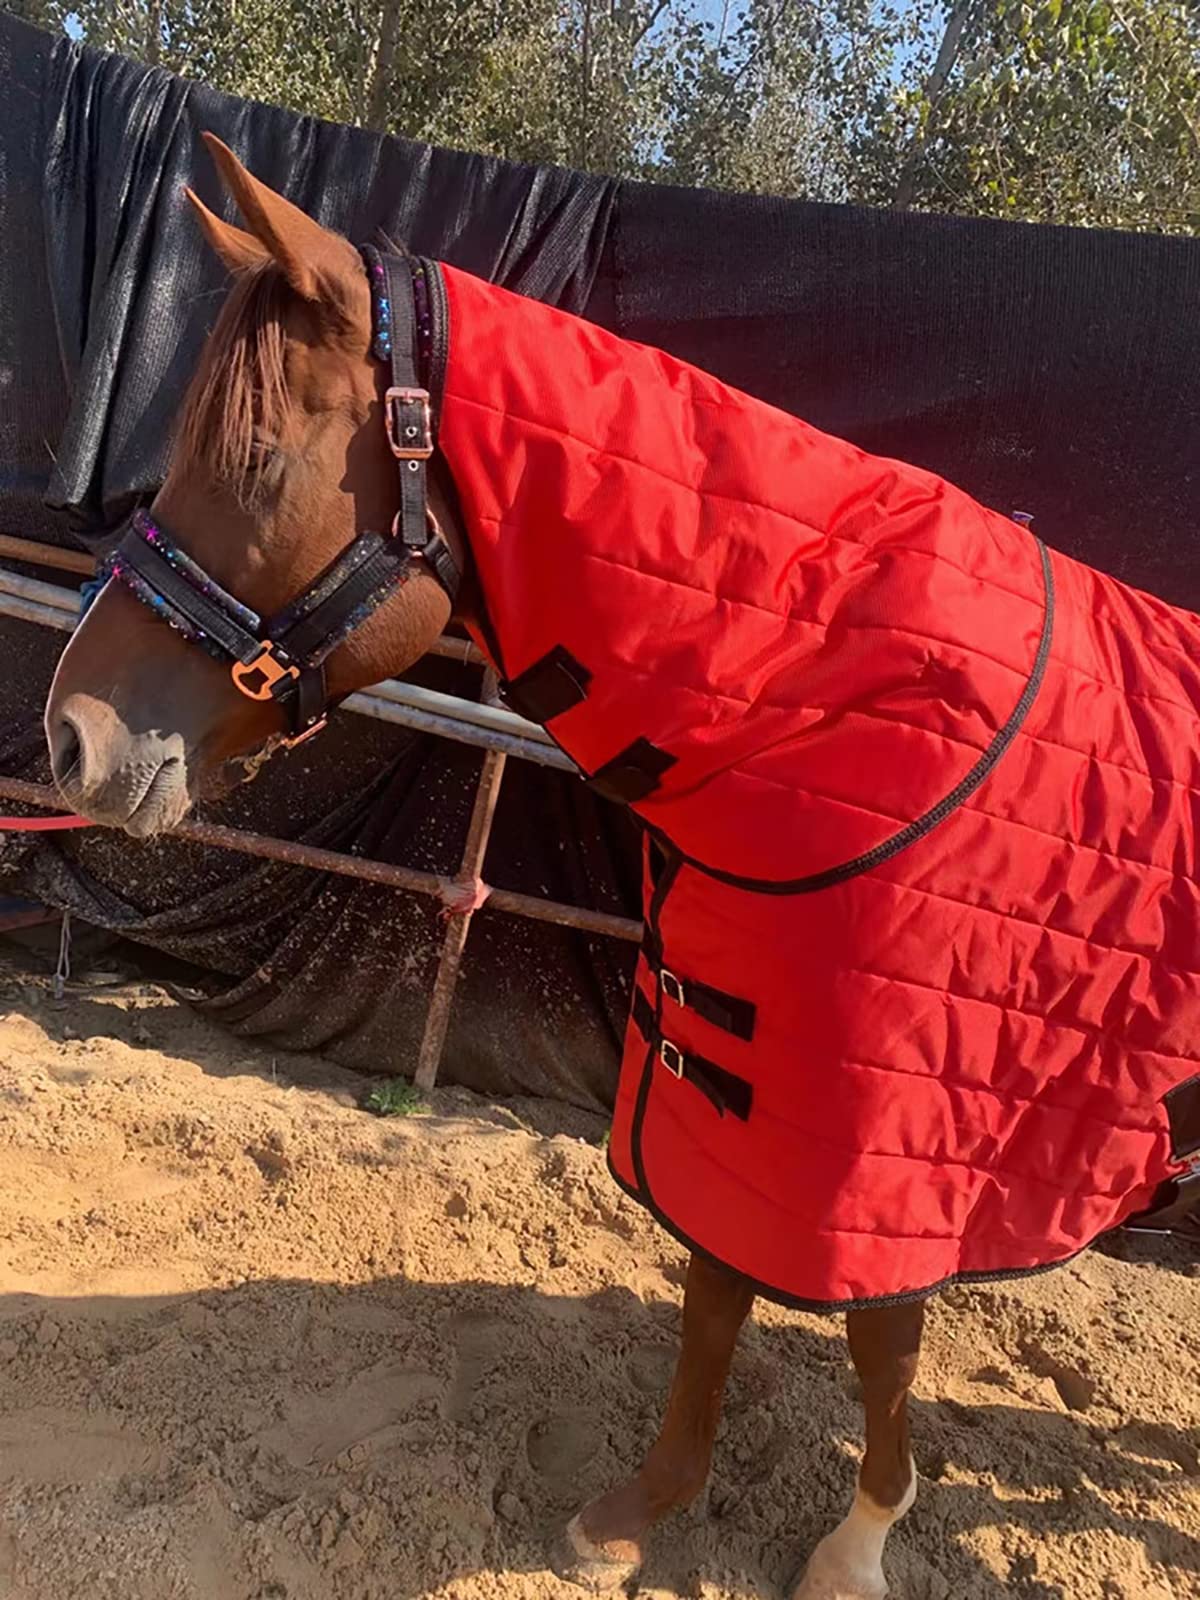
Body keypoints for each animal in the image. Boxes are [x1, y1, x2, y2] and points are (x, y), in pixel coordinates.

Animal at [44, 136, 1200, 1600]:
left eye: (251, 461)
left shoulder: (890, 1142)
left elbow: (878, 1341)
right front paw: (640, 1512)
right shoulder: (730, 1088)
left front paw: (855, 1545)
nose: (68, 738)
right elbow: (711, 1293)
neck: (836, 699)